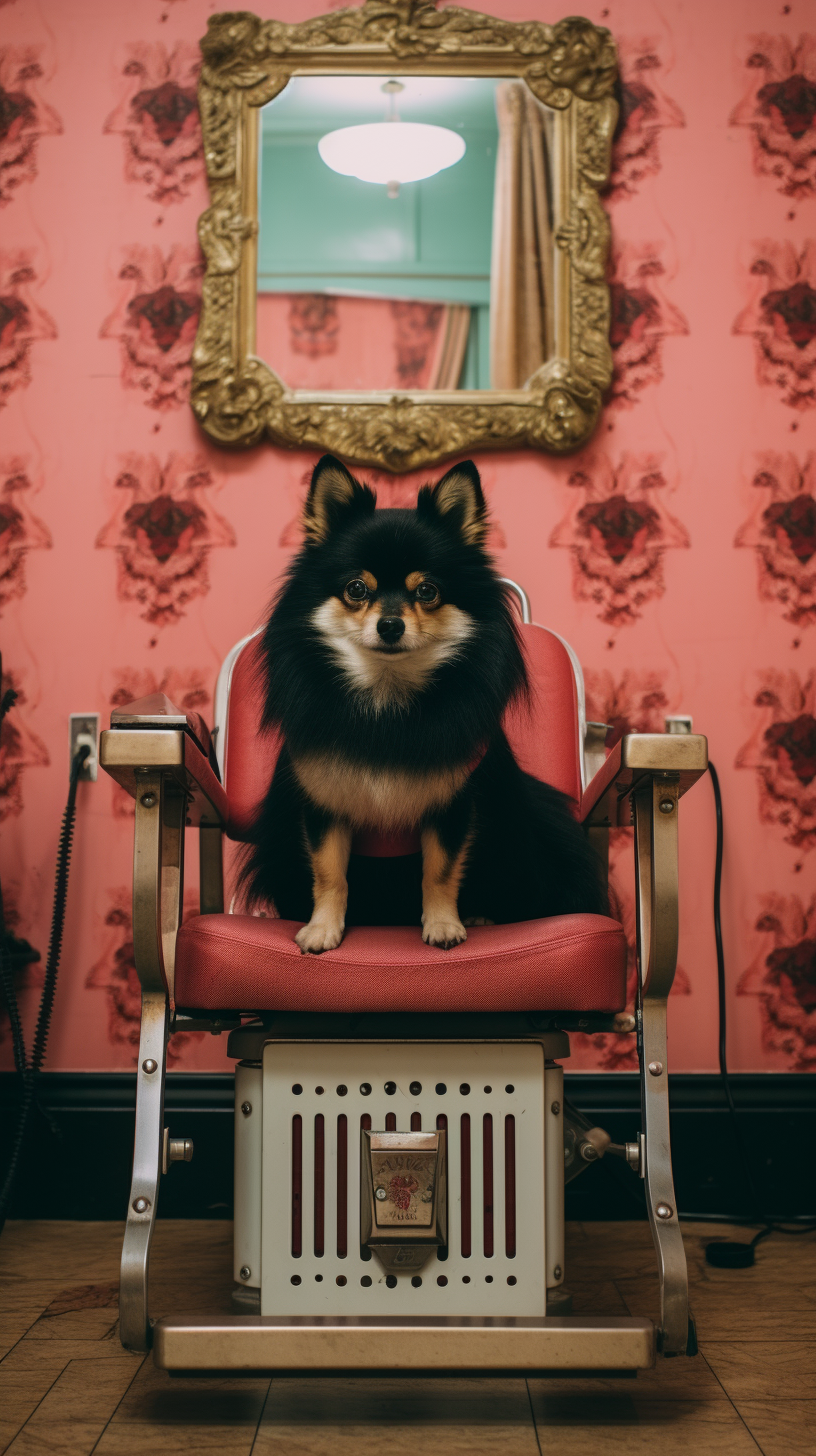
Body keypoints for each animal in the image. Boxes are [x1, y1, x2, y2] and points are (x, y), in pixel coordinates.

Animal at [241, 457, 606, 955]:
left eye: (427, 591)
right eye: (357, 589)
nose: (390, 625)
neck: (388, 694)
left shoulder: (453, 803)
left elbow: (439, 871)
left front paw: (443, 925)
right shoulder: (325, 801)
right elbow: (330, 872)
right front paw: (322, 929)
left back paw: (481, 914)